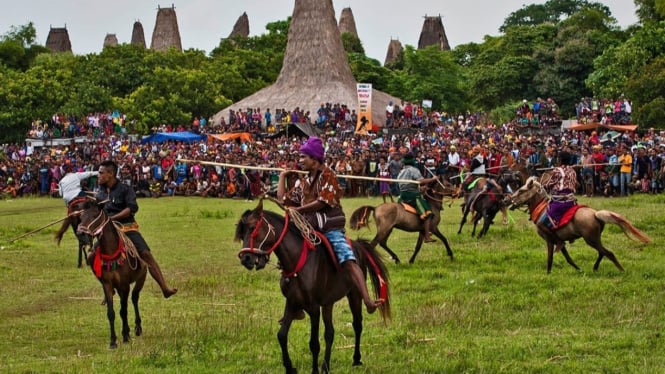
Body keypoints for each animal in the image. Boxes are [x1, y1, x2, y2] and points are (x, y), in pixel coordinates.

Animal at [75, 197, 148, 350]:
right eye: (81, 217)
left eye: (94, 216)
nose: (80, 234)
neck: (112, 253)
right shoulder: (107, 285)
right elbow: (111, 313)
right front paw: (113, 340)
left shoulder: (125, 285)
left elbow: (123, 310)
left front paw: (125, 336)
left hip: (141, 278)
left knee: (134, 298)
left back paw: (137, 327)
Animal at [236, 200, 390, 374]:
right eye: (241, 233)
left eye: (252, 228)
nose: (246, 259)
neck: (297, 260)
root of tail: (358, 246)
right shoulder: (292, 303)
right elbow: (281, 335)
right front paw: (290, 367)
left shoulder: (314, 308)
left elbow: (314, 344)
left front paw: (313, 370)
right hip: (328, 302)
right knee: (330, 333)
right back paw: (326, 366)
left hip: (354, 295)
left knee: (357, 324)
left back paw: (356, 358)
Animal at [508, 177, 648, 274]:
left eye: (521, 190)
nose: (507, 200)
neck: (541, 209)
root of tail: (595, 214)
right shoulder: (558, 241)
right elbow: (567, 257)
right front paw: (578, 269)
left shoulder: (549, 239)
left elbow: (550, 258)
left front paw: (548, 273)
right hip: (594, 240)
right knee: (602, 253)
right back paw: (595, 268)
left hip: (591, 240)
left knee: (608, 253)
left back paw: (621, 270)